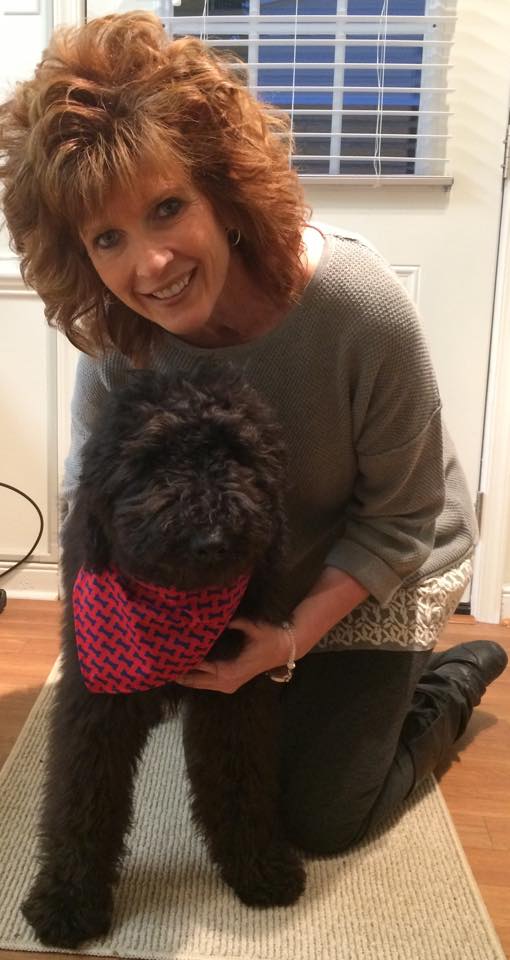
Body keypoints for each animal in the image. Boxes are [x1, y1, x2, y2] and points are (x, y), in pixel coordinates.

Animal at [22, 363, 306, 949]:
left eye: (237, 454)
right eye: (152, 459)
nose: (212, 537)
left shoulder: (235, 695)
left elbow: (241, 778)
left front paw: (259, 867)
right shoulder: (95, 702)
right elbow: (80, 794)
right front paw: (67, 901)